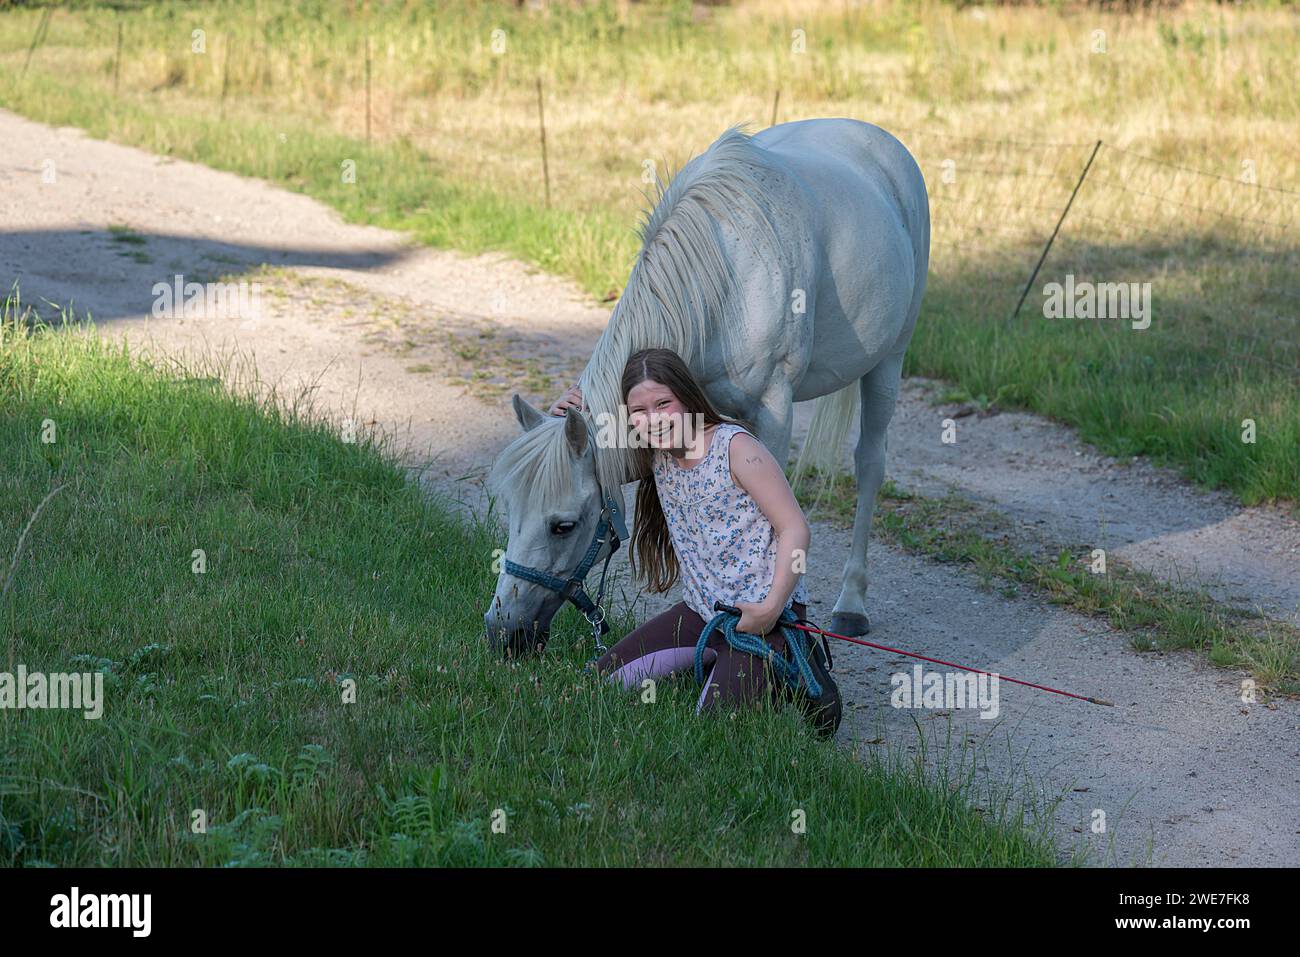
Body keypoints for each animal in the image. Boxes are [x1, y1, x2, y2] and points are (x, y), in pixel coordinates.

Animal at [486, 117, 925, 657]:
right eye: (510, 510)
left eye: (562, 525)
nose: (501, 631)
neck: (724, 281)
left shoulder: (773, 410)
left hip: (890, 360)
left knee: (869, 464)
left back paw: (852, 602)